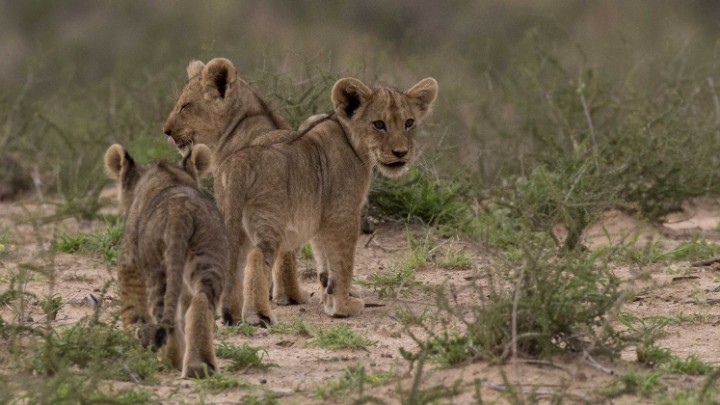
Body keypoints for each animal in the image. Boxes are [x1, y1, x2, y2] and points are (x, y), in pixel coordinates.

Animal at [104, 143, 228, 378]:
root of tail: (181, 210)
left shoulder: (130, 265)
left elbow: (133, 310)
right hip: (207, 260)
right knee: (199, 303)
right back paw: (199, 365)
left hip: (157, 269)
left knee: (166, 320)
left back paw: (170, 361)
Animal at [162, 58, 438, 326]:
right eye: (379, 124)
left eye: (409, 123)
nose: (401, 153)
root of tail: (240, 162)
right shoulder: (342, 214)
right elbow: (342, 262)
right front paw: (342, 307)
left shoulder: (320, 216)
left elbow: (325, 259)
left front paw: (329, 297)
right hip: (269, 220)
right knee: (256, 259)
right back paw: (259, 315)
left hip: (240, 220)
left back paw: (236, 313)